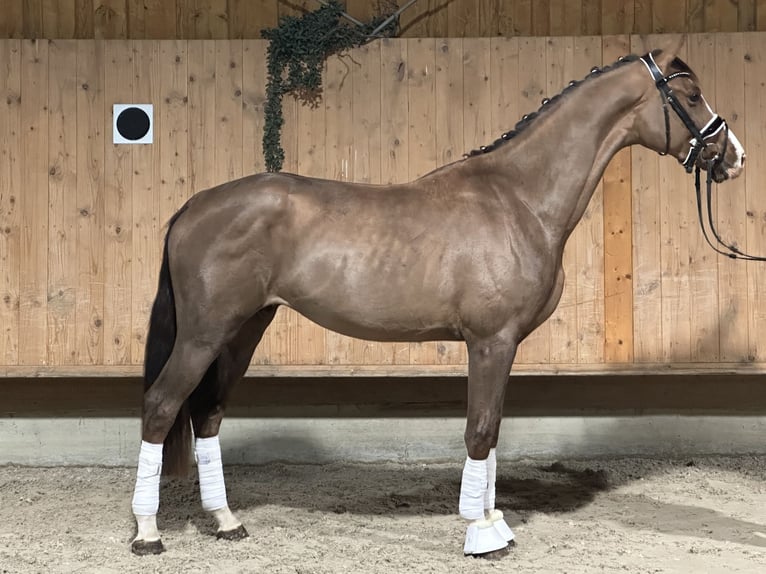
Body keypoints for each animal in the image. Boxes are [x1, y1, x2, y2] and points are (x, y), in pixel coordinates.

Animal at [129, 38, 748, 560]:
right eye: (691, 94)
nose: (732, 156)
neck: (519, 199)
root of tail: (194, 206)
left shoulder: (503, 346)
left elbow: (492, 432)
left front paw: (495, 522)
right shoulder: (491, 341)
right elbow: (479, 431)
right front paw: (481, 535)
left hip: (243, 330)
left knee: (208, 413)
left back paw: (227, 522)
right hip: (205, 333)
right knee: (161, 406)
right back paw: (148, 534)